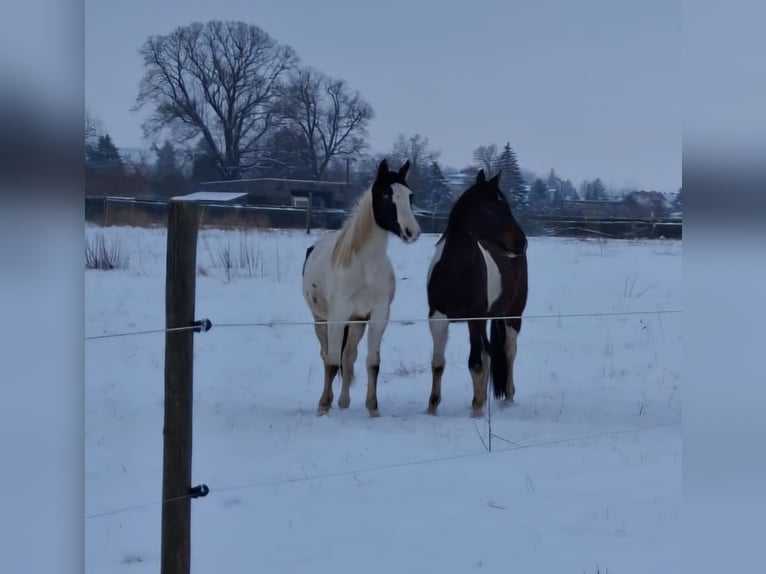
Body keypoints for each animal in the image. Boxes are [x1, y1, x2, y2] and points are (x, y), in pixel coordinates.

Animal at [302, 158, 422, 417]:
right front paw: (324, 406)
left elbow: (371, 363)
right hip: (320, 321)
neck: (364, 270)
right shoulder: (337, 318)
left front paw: (373, 407)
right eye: (386, 195)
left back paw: (344, 402)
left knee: (349, 357)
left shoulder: (377, 317)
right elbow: (331, 362)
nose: (412, 232)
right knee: (327, 356)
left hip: (356, 323)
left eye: (410, 196)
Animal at [425, 168, 528, 417]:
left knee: (509, 351)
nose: (522, 243)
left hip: (512, 316)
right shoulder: (437, 318)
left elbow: (475, 363)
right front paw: (432, 407)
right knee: (489, 353)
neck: (455, 269)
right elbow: (438, 364)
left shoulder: (475, 318)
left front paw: (476, 411)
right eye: (491, 207)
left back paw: (507, 397)